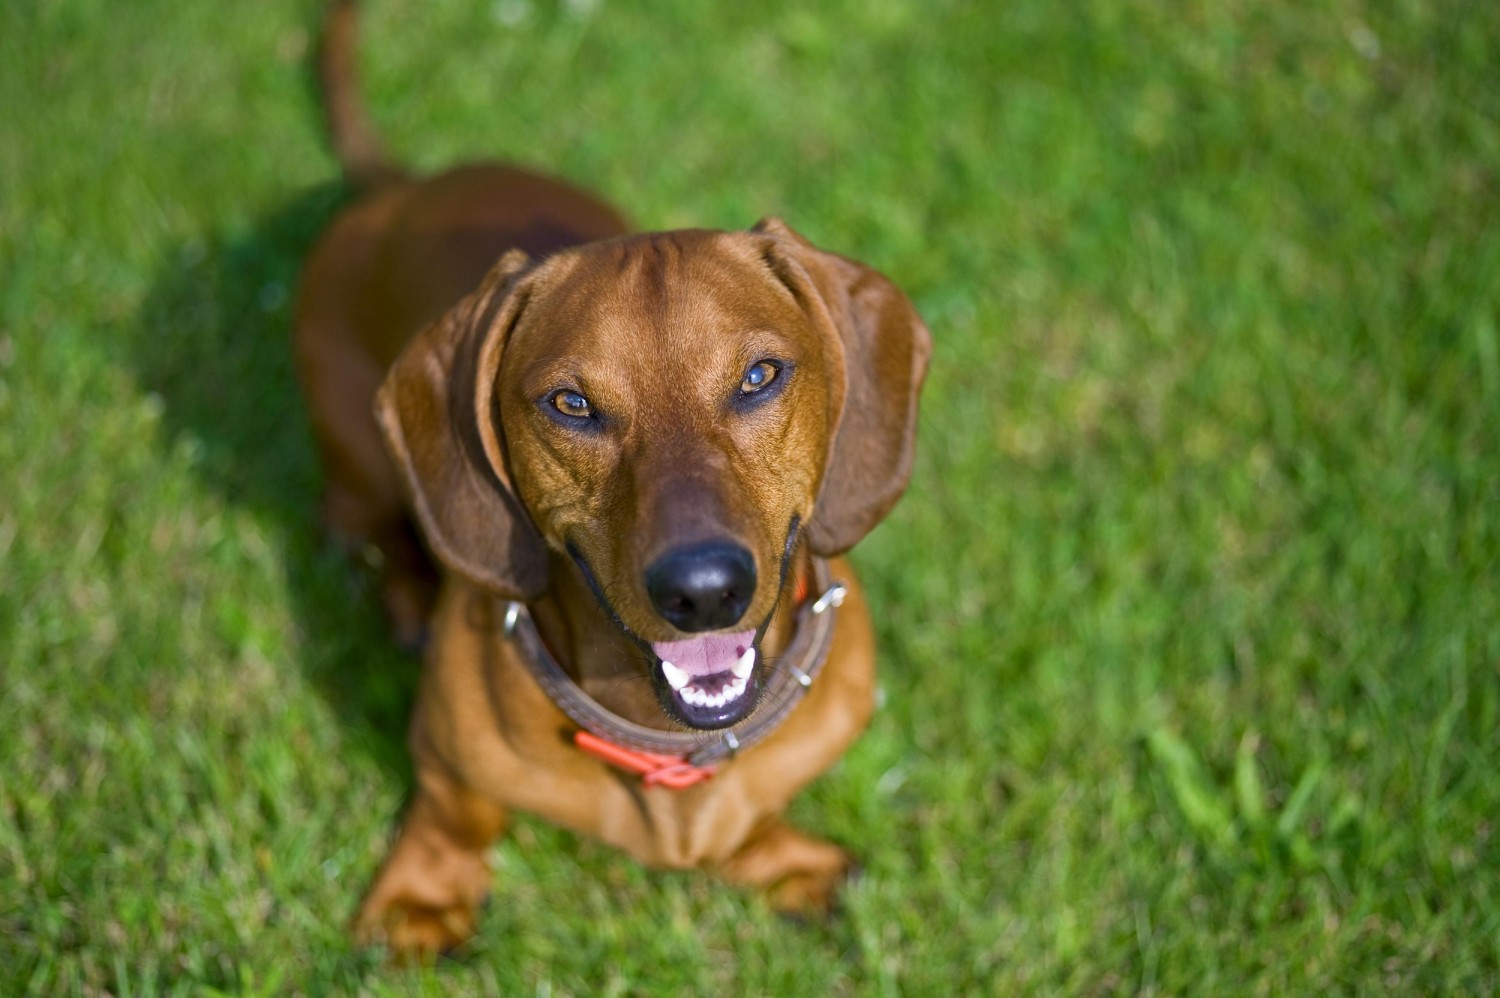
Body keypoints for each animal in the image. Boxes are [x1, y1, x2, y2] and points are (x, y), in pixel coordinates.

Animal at [292, 0, 924, 954]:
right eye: (571, 403)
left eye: (759, 376)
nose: (705, 592)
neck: (662, 737)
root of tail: (399, 190)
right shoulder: (444, 754)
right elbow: (452, 810)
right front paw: (419, 899)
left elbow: (752, 810)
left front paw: (786, 861)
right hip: (358, 459)